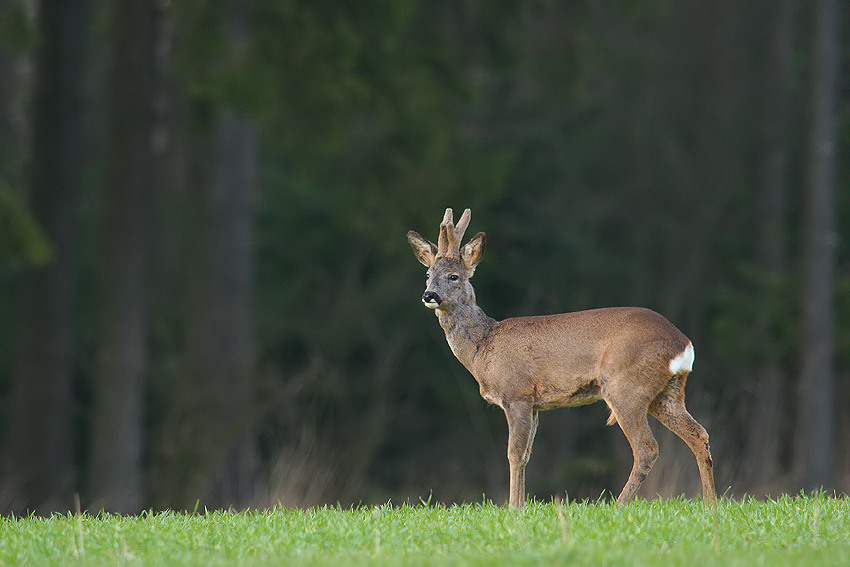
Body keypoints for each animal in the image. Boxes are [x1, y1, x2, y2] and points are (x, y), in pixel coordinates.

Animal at [408, 209, 712, 510]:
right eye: (427, 273)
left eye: (453, 276)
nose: (429, 295)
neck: (482, 348)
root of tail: (683, 343)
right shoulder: (535, 405)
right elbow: (527, 454)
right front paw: (521, 505)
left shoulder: (517, 394)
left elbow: (514, 453)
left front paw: (514, 508)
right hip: (666, 392)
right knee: (699, 435)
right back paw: (711, 504)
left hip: (626, 386)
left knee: (647, 448)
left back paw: (619, 505)